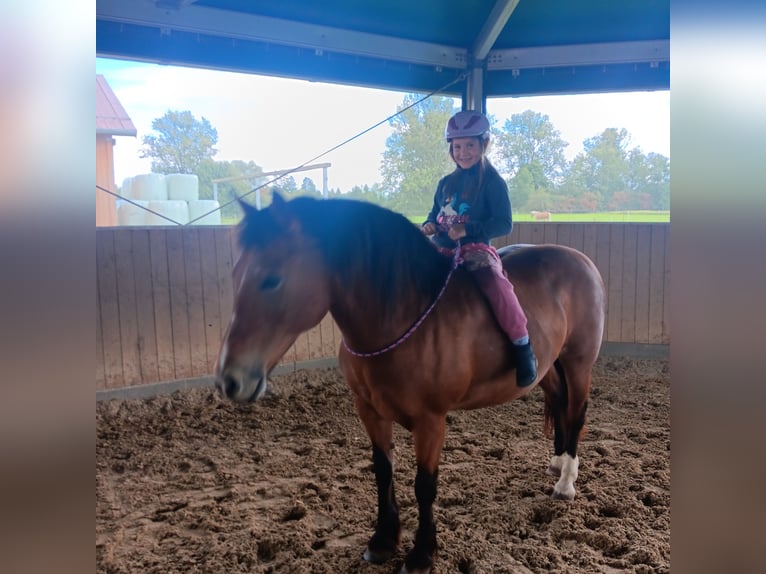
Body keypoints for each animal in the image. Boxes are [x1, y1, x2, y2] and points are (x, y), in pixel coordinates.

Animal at [215, 193, 605, 574]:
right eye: (234, 273)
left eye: (271, 280)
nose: (229, 380)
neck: (401, 316)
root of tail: (582, 261)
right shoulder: (369, 411)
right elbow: (383, 471)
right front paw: (383, 540)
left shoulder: (431, 420)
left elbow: (424, 484)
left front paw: (421, 554)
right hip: (548, 367)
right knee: (558, 402)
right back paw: (557, 462)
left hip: (578, 362)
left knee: (575, 413)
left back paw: (566, 482)